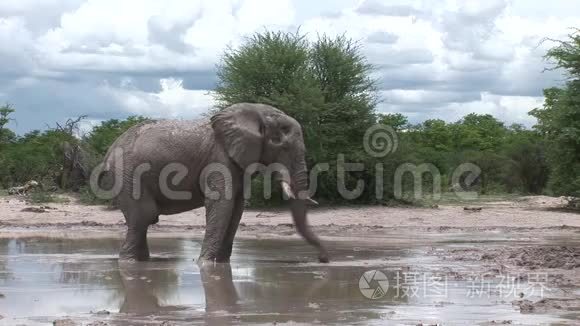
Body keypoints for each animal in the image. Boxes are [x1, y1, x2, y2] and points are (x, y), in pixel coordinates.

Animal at [98, 103, 326, 264]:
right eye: (281, 144)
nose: (323, 259)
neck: (255, 112)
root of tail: (109, 151)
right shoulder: (219, 158)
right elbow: (221, 205)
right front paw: (205, 265)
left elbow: (237, 208)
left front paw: (222, 264)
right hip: (128, 173)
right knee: (143, 216)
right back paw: (128, 263)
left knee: (142, 221)